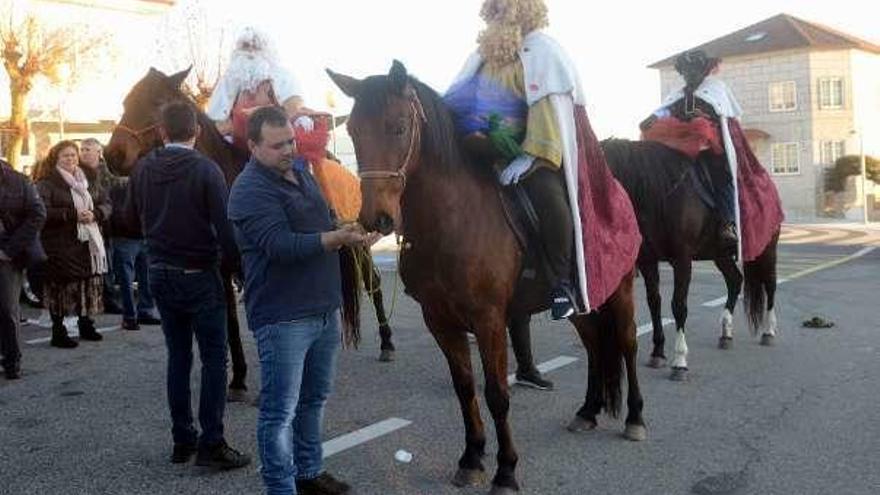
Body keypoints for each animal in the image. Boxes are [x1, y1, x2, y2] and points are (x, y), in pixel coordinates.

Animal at [330, 63, 648, 495]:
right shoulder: (440, 321)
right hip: (582, 303)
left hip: (622, 288)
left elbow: (496, 393)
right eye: (353, 131)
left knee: (628, 344)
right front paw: (471, 457)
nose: (375, 218)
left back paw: (635, 418)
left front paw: (506, 470)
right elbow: (465, 388)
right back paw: (587, 410)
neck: (452, 221)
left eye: (398, 126)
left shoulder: (489, 320)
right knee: (596, 344)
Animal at [600, 140, 780, 384]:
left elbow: (678, 306)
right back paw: (726, 333)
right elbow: (654, 302)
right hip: (720, 254)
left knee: (770, 284)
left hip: (767, 249)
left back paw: (768, 331)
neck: (659, 193)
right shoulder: (647, 260)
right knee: (735, 280)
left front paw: (680, 361)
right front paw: (658, 352)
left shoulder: (682, 260)